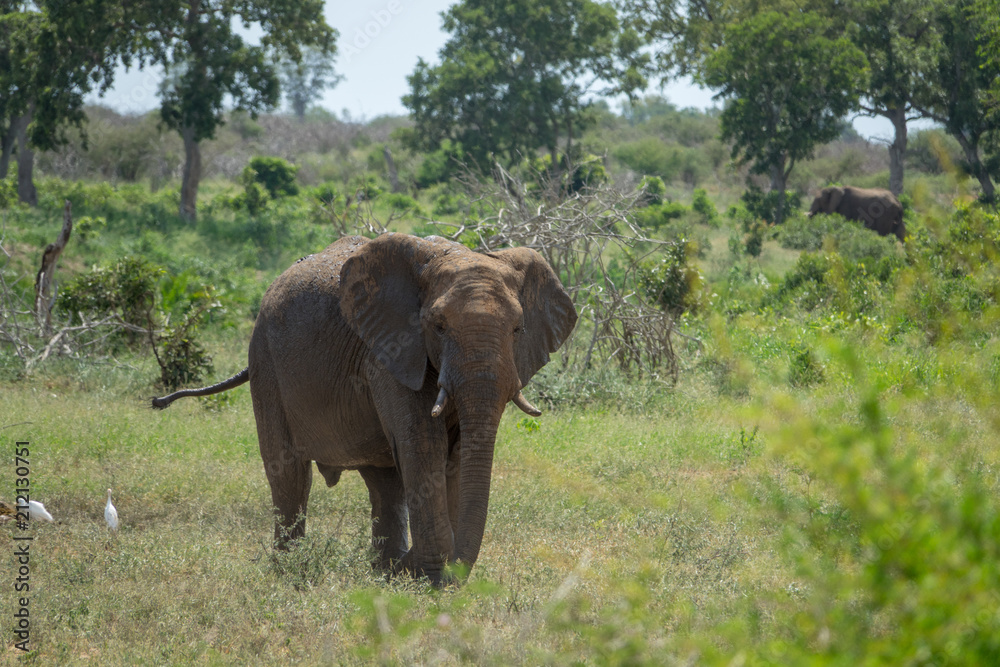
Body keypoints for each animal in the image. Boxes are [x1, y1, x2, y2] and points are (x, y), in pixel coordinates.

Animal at [152, 233, 577, 585]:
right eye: (438, 326)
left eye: (518, 329)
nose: (448, 574)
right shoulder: (388, 353)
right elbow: (424, 447)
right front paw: (431, 579)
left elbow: (456, 454)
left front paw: (425, 575)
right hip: (265, 360)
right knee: (289, 473)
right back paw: (293, 569)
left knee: (383, 481)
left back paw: (383, 569)